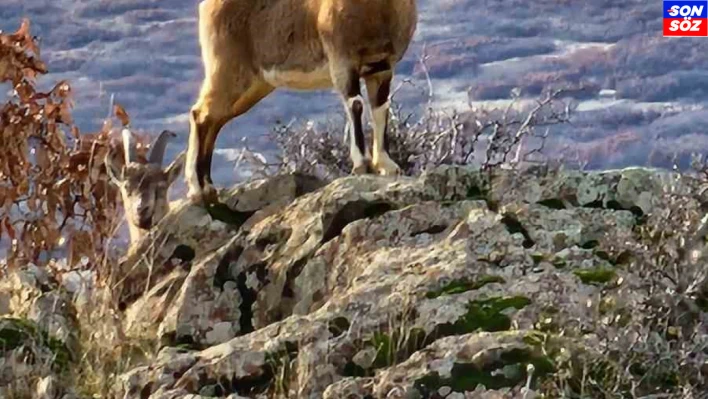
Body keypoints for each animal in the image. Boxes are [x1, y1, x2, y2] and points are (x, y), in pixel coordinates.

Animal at [187, 0, 420, 202]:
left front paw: (386, 165)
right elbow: (356, 105)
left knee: (213, 120)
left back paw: (207, 187)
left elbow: (380, 109)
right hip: (228, 73)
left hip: (253, 86)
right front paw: (362, 164)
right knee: (201, 114)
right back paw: (199, 189)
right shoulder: (343, 64)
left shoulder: (381, 69)